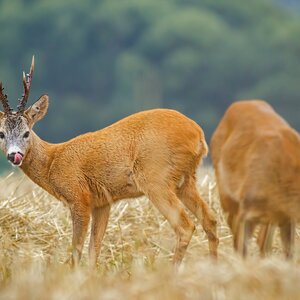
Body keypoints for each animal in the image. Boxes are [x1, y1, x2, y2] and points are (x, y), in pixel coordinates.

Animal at [0, 56, 218, 268]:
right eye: (1, 133)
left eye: (26, 133)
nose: (14, 155)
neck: (52, 161)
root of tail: (198, 134)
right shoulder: (102, 203)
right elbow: (93, 249)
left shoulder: (79, 197)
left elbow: (76, 250)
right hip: (185, 179)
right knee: (210, 219)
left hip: (156, 177)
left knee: (185, 226)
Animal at [211, 100, 300, 258]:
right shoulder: (247, 211)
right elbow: (243, 252)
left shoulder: (287, 217)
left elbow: (288, 255)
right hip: (228, 200)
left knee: (262, 243)